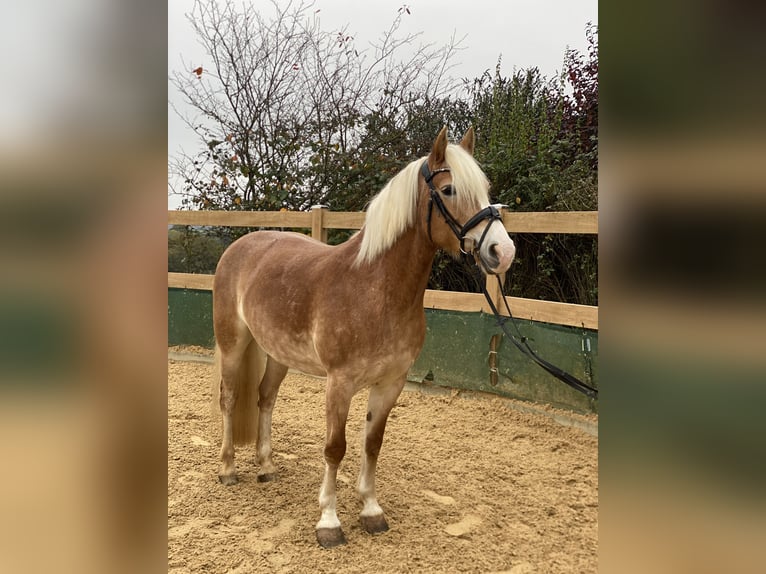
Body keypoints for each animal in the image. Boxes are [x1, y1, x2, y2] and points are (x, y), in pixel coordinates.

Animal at [213, 128, 520, 552]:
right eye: (449, 189)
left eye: (486, 191)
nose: (502, 251)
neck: (376, 288)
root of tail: (241, 246)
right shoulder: (339, 384)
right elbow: (335, 447)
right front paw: (329, 521)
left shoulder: (390, 383)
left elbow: (372, 444)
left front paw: (371, 511)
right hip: (233, 344)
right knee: (229, 399)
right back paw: (228, 469)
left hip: (277, 354)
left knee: (265, 398)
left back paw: (267, 466)